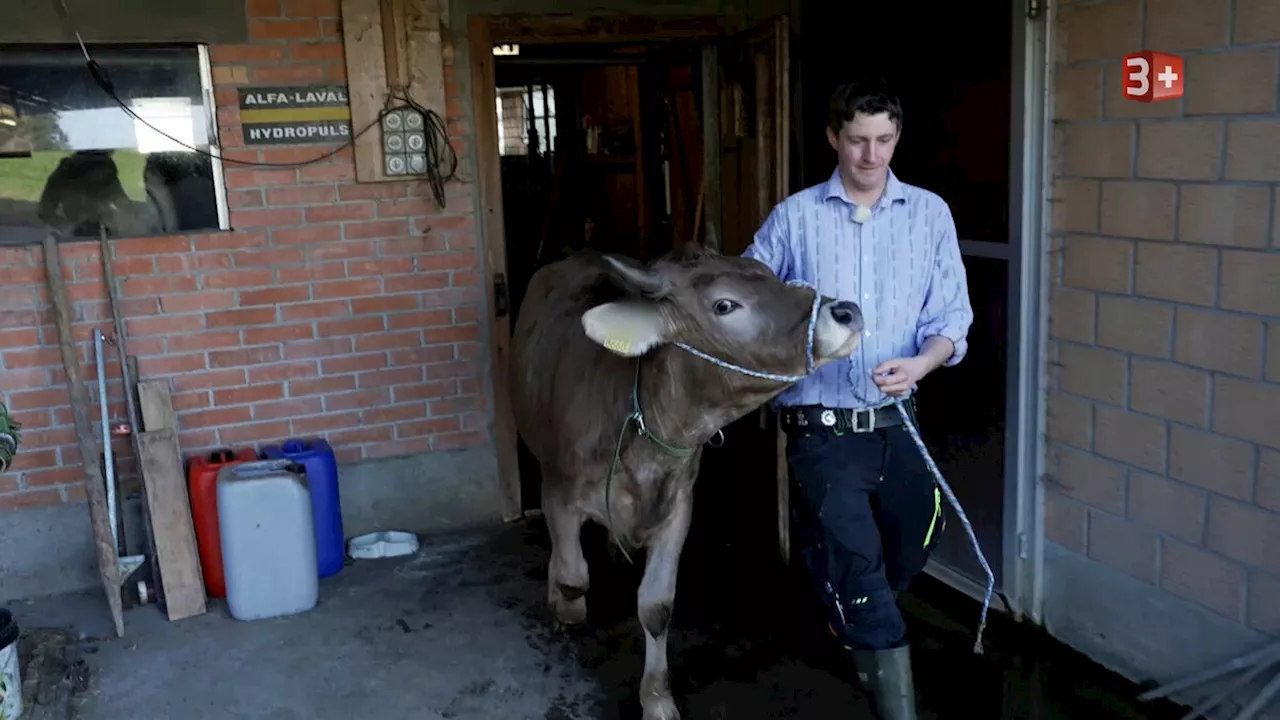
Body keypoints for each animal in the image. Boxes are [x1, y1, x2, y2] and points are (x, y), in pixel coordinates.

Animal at [509, 243, 860, 712]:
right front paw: (568, 612)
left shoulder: (677, 508)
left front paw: (657, 699)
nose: (846, 312)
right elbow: (572, 576)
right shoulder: (558, 492)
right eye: (724, 305)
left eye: (774, 277)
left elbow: (657, 607)